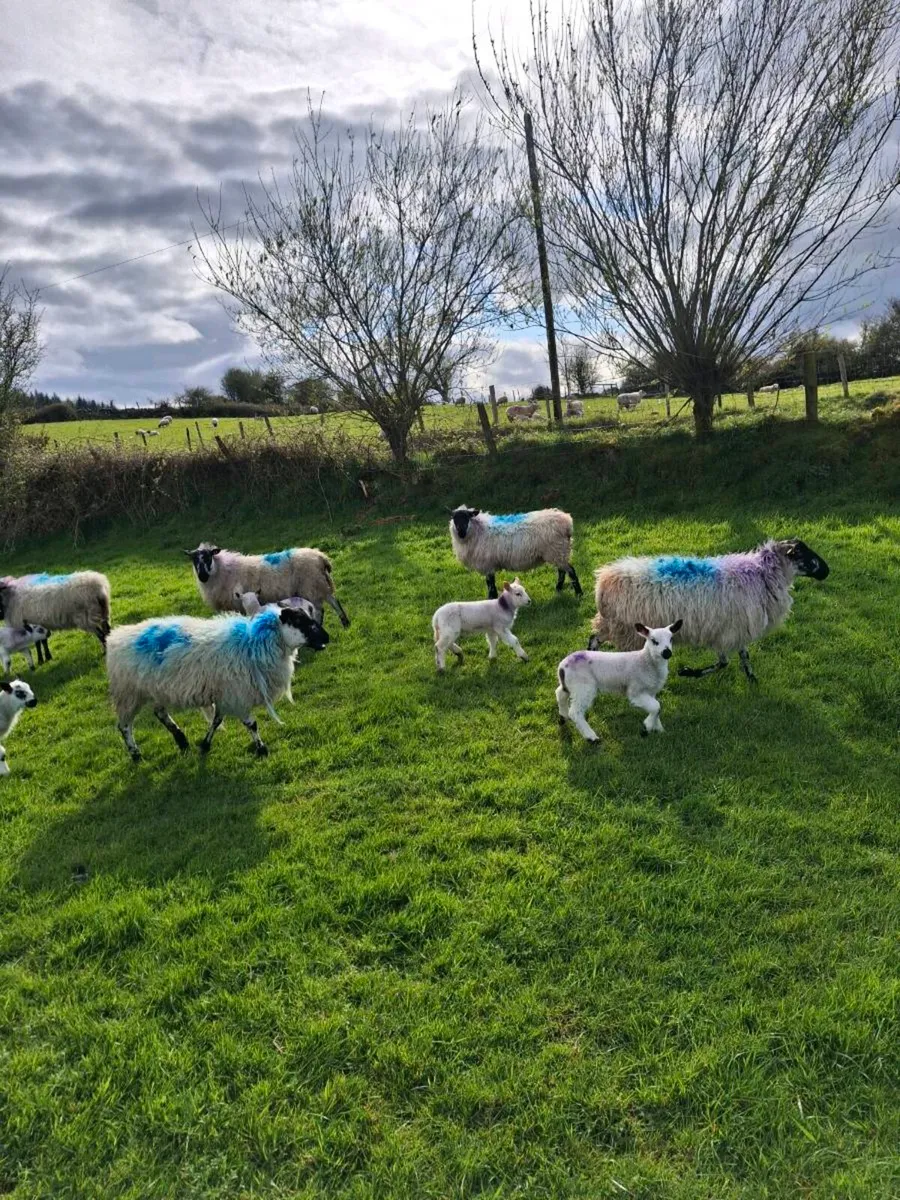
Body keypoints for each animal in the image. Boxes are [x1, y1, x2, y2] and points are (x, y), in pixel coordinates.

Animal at [106, 607, 329, 762]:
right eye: (300, 621)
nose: (327, 637)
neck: (254, 643)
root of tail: (114, 639)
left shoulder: (226, 694)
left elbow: (216, 720)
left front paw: (205, 745)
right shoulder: (237, 694)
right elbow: (251, 724)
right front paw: (262, 749)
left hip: (157, 690)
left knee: (159, 713)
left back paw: (181, 740)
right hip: (129, 693)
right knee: (124, 726)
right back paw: (136, 754)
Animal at [185, 543, 350, 628]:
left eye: (208, 557)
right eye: (194, 559)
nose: (202, 576)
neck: (222, 571)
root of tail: (321, 557)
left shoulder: (235, 605)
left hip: (311, 586)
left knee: (320, 609)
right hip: (320, 584)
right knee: (334, 601)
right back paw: (345, 622)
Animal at [449, 505, 582, 599]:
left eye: (467, 517)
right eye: (455, 518)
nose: (461, 531)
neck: (479, 530)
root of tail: (566, 521)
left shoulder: (487, 563)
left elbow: (490, 584)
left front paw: (491, 598)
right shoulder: (488, 564)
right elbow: (490, 583)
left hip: (557, 550)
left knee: (570, 571)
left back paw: (579, 594)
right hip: (558, 552)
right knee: (562, 571)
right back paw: (558, 590)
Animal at [587, 538, 829, 681]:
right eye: (802, 553)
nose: (827, 570)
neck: (762, 575)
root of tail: (603, 582)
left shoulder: (736, 629)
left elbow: (743, 656)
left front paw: (752, 678)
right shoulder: (727, 632)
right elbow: (724, 663)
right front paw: (690, 672)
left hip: (613, 624)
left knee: (594, 638)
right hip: (626, 628)